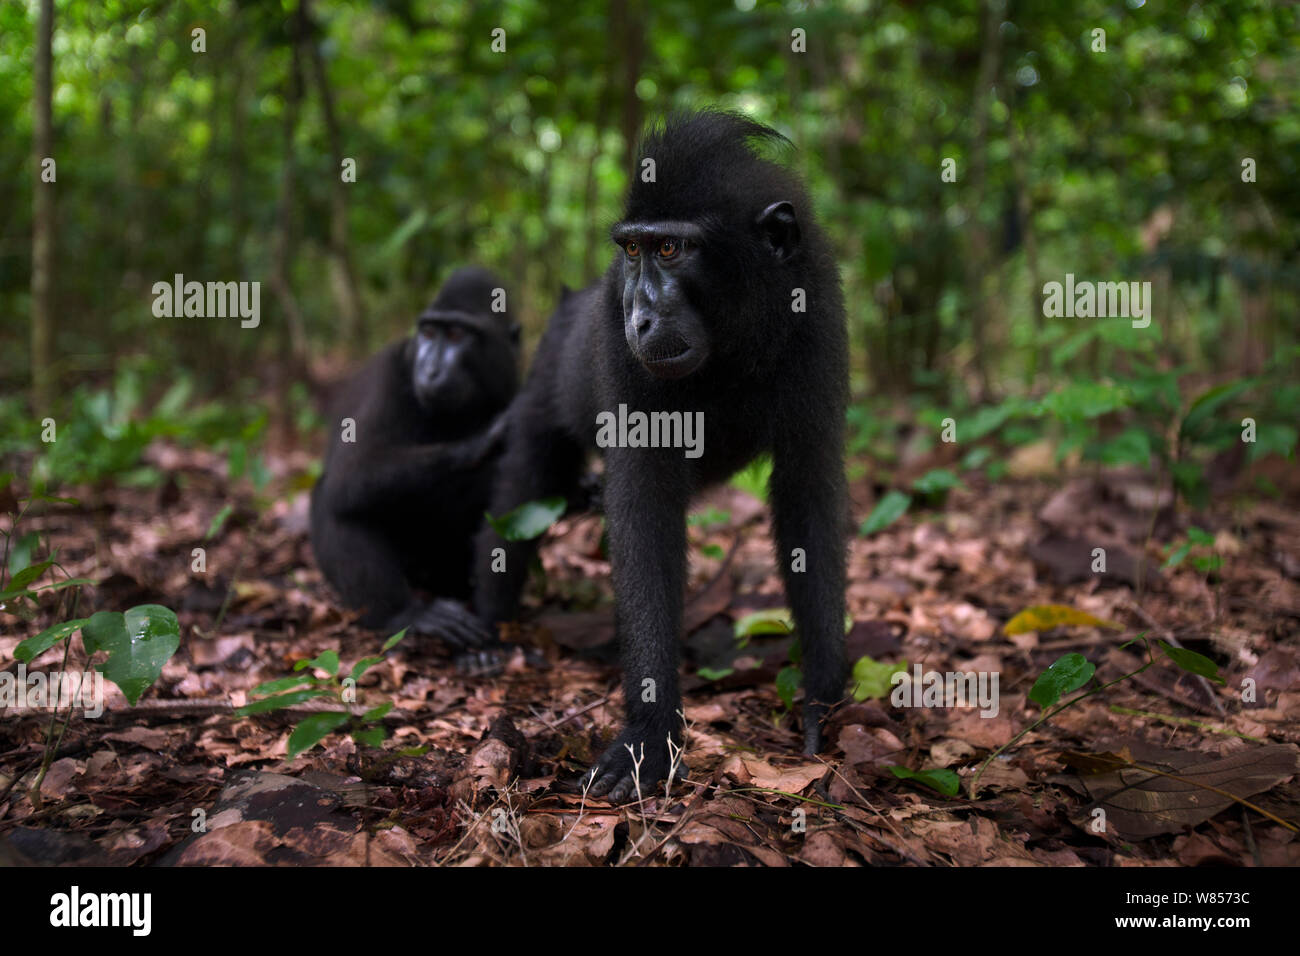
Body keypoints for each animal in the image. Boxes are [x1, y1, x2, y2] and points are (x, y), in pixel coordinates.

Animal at [311, 266, 520, 651]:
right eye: (428, 332)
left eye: (456, 334)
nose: (430, 367)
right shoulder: (389, 373)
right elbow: (353, 472)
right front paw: (482, 441)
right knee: (336, 499)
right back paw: (405, 615)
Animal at [475, 112, 848, 801]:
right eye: (632, 251)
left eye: (671, 248)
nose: (640, 317)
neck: (734, 340)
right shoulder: (616, 340)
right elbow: (644, 510)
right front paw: (650, 735)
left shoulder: (815, 314)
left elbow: (808, 493)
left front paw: (824, 699)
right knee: (520, 492)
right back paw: (484, 630)